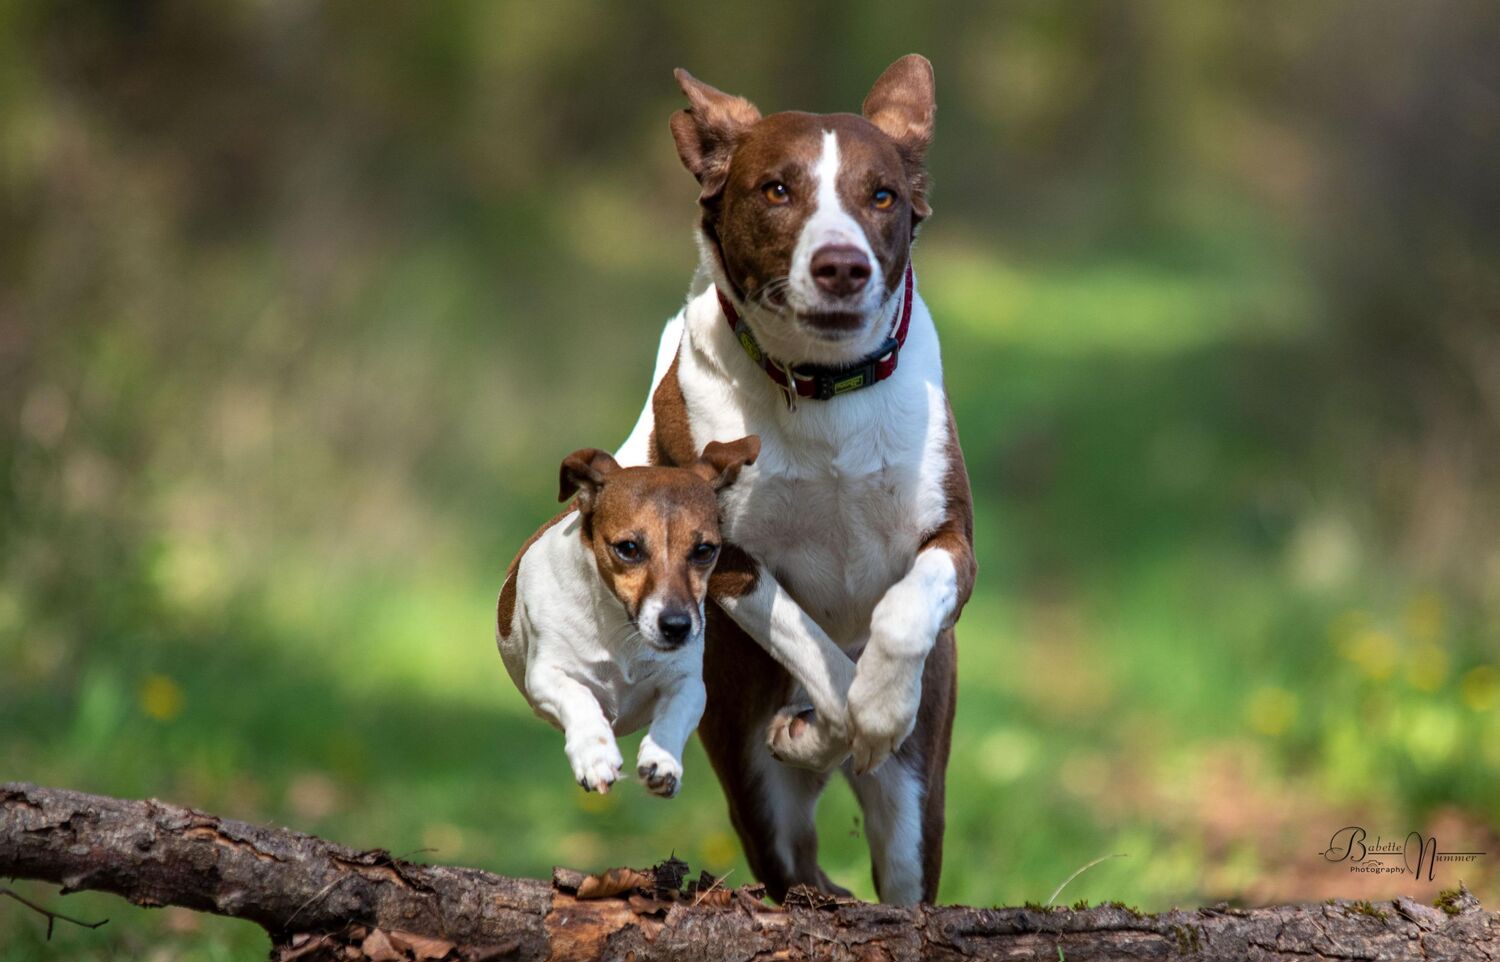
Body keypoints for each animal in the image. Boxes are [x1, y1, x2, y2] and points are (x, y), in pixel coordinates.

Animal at [498, 435, 762, 792]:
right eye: (628, 548)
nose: (677, 626)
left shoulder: (688, 683)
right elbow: (578, 697)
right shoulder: (546, 675)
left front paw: (662, 759)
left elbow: (675, 713)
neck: (619, 628)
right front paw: (595, 755)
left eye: (704, 550)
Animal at [615, 56, 978, 906]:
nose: (841, 264)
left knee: (903, 875)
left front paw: (880, 706)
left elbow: (906, 609)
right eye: (776, 188)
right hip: (745, 766)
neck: (822, 388)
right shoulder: (728, 560)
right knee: (794, 865)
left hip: (916, 804)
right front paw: (829, 722)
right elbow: (815, 656)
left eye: (881, 195)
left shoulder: (953, 537)